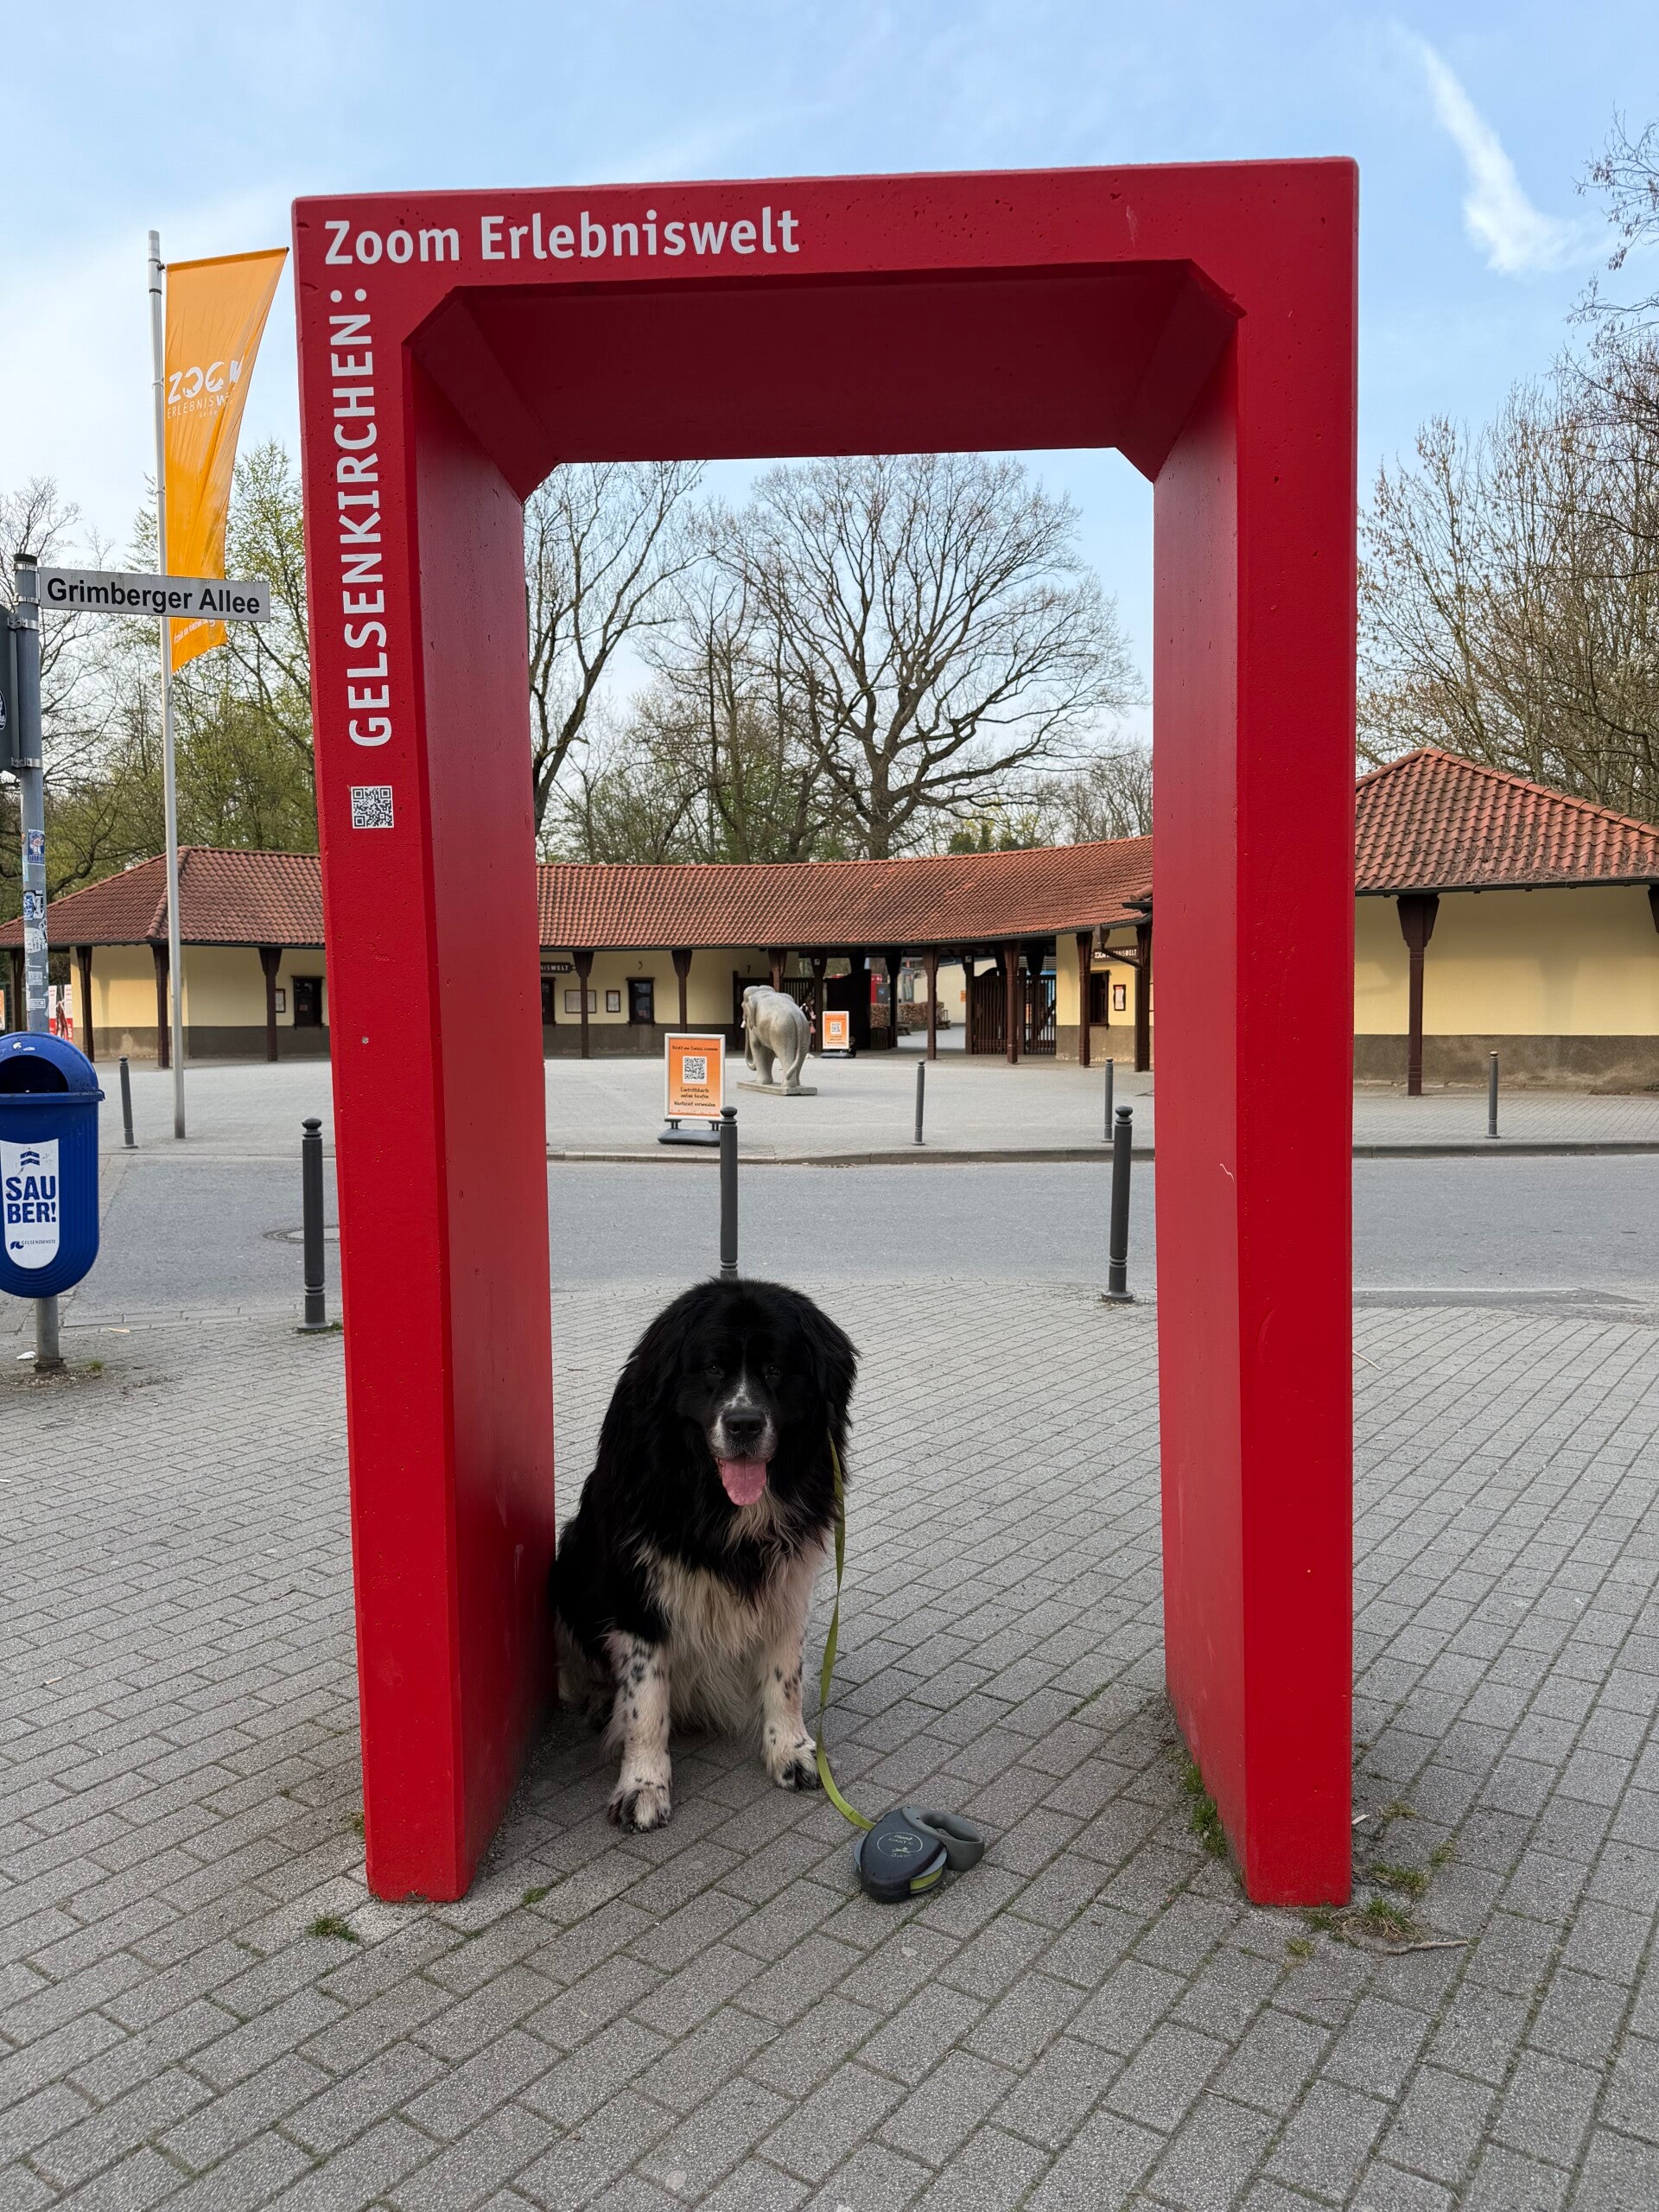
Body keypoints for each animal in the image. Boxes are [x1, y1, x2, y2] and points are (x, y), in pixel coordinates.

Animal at [550, 1278, 857, 1832]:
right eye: (712, 1368)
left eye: (775, 1370)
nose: (744, 1423)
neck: (715, 1503)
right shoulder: (640, 1590)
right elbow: (646, 1700)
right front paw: (643, 1784)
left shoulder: (787, 1582)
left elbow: (787, 1675)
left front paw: (791, 1751)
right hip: (570, 1561)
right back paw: (601, 1699)